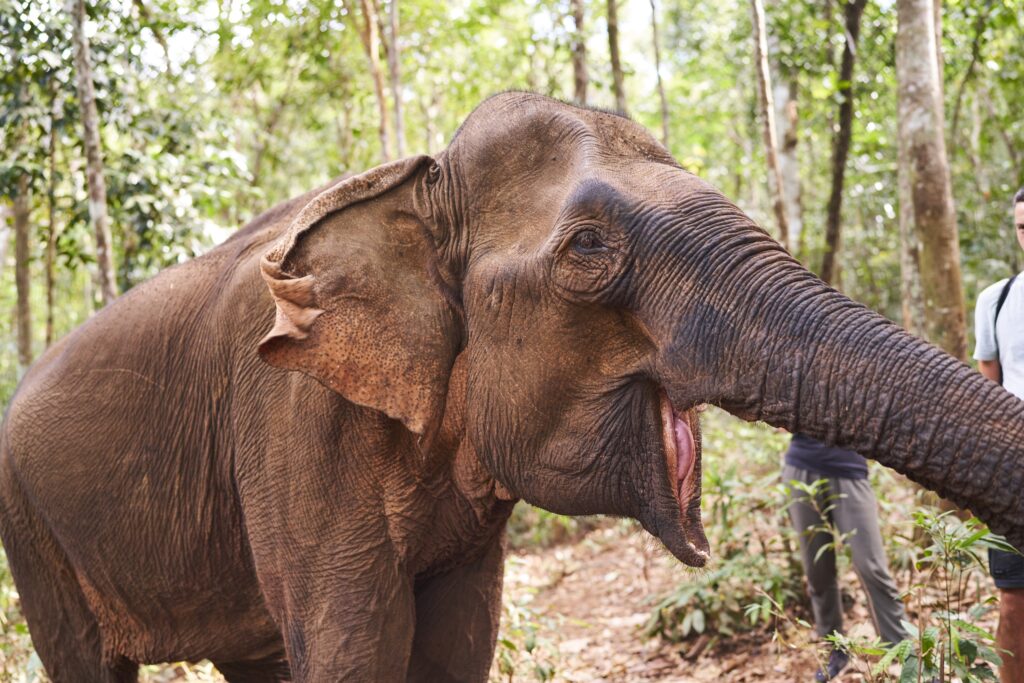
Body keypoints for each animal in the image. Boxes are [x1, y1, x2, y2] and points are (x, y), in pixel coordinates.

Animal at [2, 92, 1024, 683]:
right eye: (590, 248)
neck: (414, 182)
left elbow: (458, 642)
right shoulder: (293, 424)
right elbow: (352, 645)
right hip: (34, 532)